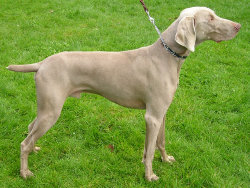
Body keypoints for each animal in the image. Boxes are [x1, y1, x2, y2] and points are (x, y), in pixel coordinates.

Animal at [7, 6, 240, 181]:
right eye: (210, 18)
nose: (238, 26)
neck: (166, 56)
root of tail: (41, 63)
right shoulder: (152, 116)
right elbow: (150, 151)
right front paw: (150, 176)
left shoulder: (162, 113)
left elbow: (160, 142)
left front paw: (165, 160)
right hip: (52, 110)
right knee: (24, 142)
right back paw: (25, 172)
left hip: (46, 107)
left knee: (30, 128)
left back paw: (34, 150)